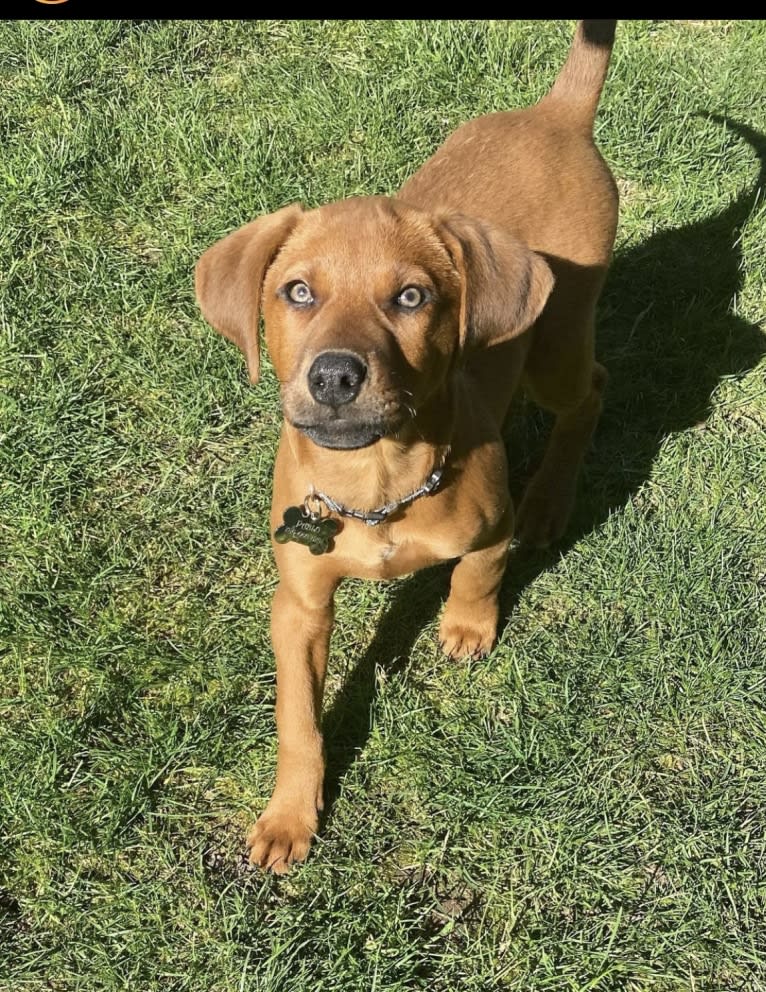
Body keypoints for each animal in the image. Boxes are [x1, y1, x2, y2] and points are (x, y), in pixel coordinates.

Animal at [195, 19, 620, 872]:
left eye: (413, 297)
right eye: (297, 292)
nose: (333, 376)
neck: (377, 484)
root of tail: (554, 112)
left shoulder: (487, 528)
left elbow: (479, 575)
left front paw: (466, 626)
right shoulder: (297, 605)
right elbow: (298, 720)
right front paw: (289, 817)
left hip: (556, 346)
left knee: (590, 391)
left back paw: (549, 501)